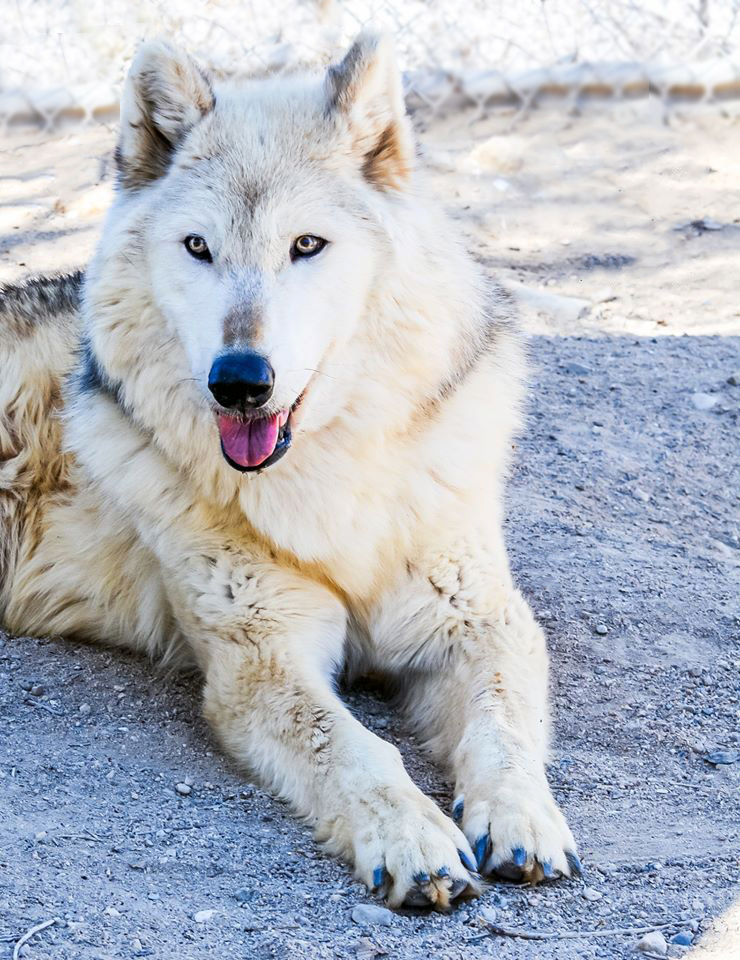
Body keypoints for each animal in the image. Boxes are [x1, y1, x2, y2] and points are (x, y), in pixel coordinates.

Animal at [0, 32, 579, 908]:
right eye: (198, 248)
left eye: (307, 245)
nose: (240, 380)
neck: (331, 483)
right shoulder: (263, 658)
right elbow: (356, 747)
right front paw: (412, 839)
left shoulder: (480, 621)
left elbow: (503, 726)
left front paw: (522, 819)